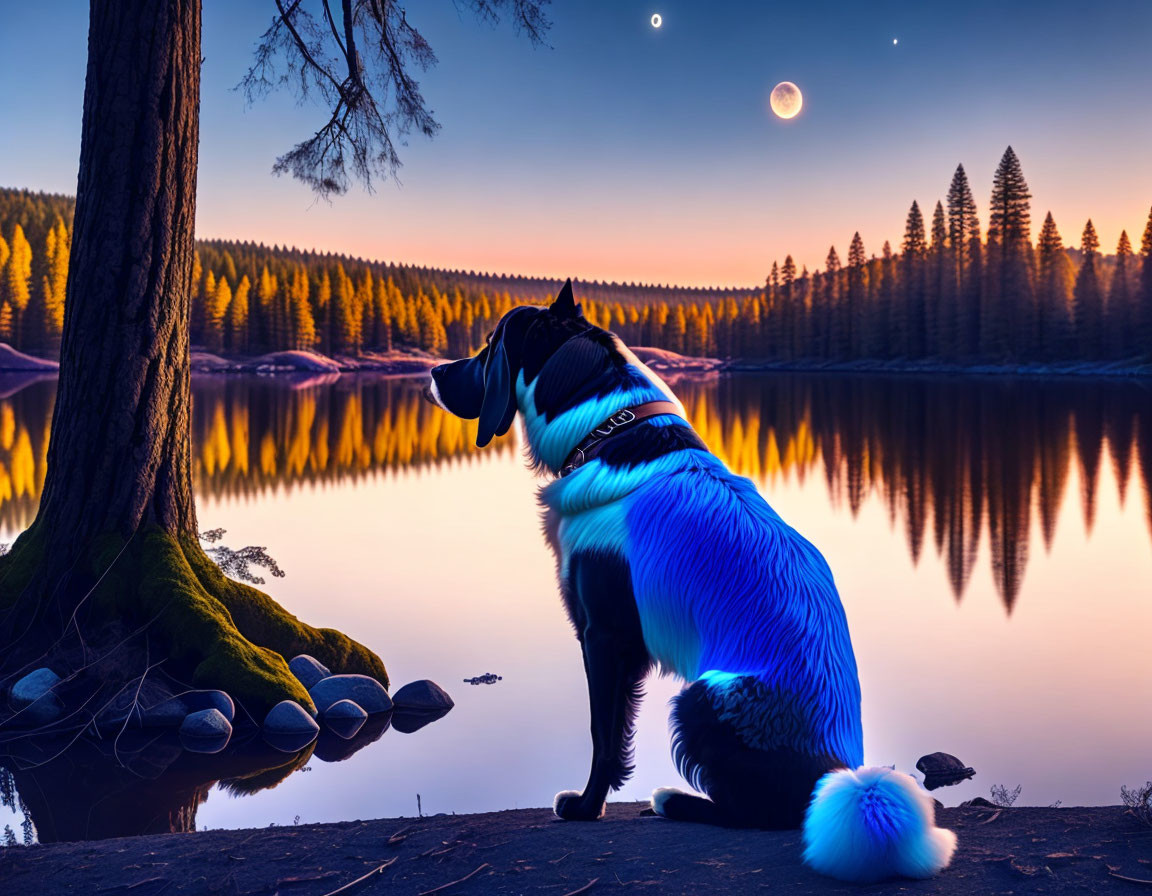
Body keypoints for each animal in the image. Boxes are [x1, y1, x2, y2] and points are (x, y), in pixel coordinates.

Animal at [428, 283, 958, 884]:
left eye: (490, 345)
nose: (434, 371)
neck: (609, 431)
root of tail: (835, 772)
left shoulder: (603, 635)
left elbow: (601, 733)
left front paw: (585, 808)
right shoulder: (626, 646)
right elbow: (617, 733)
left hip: (701, 698)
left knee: (762, 812)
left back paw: (676, 801)